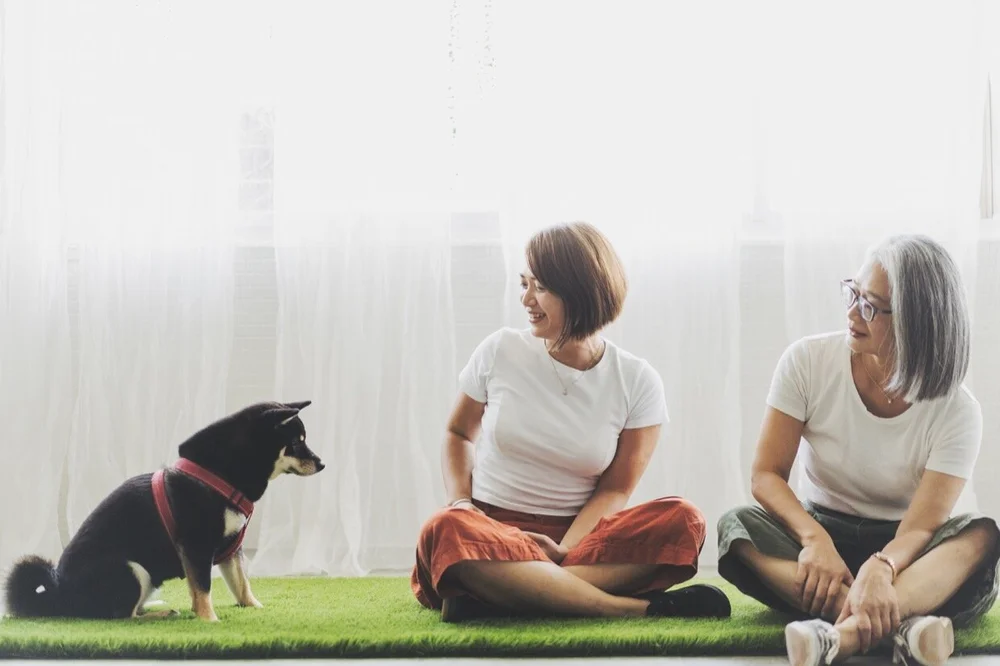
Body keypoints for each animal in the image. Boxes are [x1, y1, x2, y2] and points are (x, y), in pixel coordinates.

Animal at [3, 400, 323, 622]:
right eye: (297, 443)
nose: (322, 463)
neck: (222, 475)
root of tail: (59, 595)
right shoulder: (196, 547)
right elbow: (203, 589)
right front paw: (209, 620)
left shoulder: (231, 549)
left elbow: (241, 584)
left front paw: (254, 607)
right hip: (132, 570)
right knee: (122, 616)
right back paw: (160, 615)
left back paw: (155, 608)